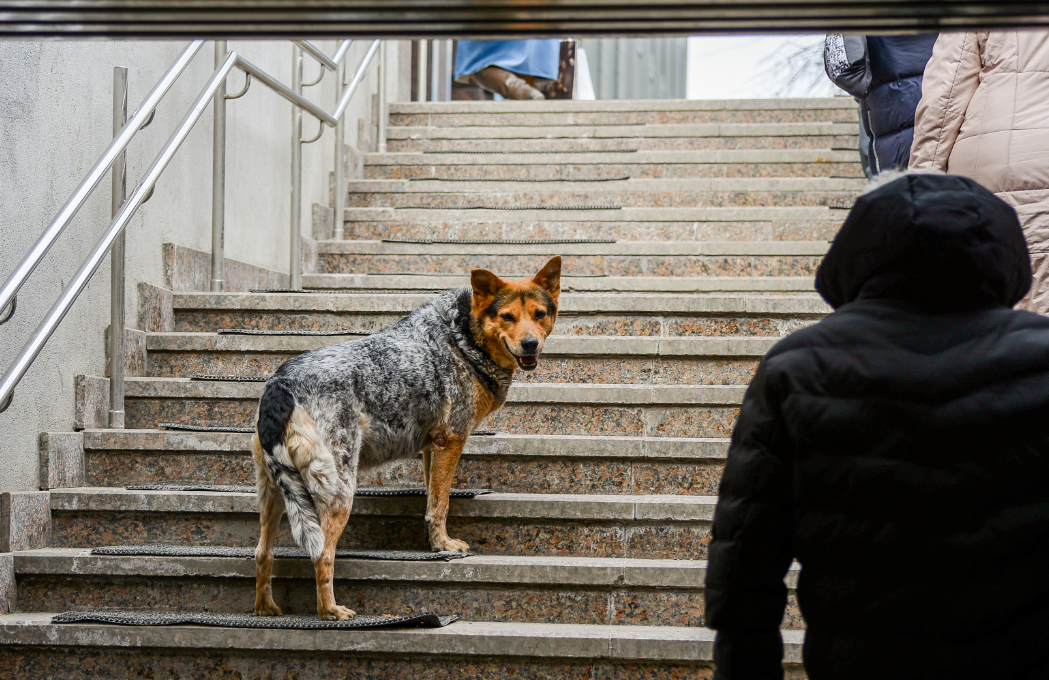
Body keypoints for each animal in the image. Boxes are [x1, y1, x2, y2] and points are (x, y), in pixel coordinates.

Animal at [250, 258, 562, 617]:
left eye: (539, 314)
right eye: (507, 317)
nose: (530, 344)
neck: (464, 336)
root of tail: (279, 387)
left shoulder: (432, 447)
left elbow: (432, 499)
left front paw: (434, 541)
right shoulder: (452, 440)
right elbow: (440, 504)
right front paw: (444, 546)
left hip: (274, 492)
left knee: (262, 553)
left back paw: (265, 609)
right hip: (338, 490)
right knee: (323, 554)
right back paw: (331, 611)